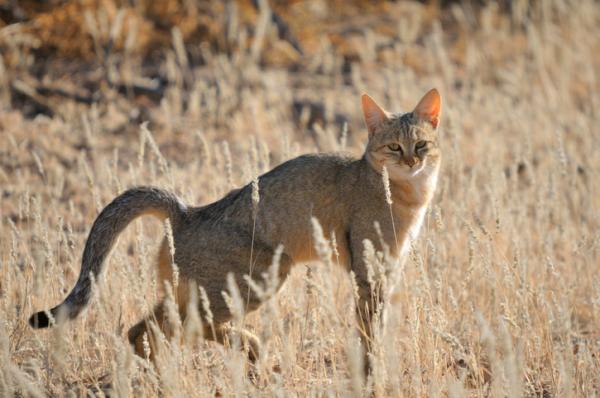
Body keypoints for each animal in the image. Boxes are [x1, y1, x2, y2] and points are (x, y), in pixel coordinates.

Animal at [29, 89, 440, 374]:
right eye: (394, 147)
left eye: (421, 144)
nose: (411, 161)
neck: (408, 197)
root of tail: (187, 211)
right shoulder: (369, 274)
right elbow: (369, 331)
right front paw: (373, 372)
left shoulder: (386, 272)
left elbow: (372, 329)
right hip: (262, 277)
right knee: (183, 326)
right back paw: (249, 346)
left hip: (196, 293)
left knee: (141, 329)